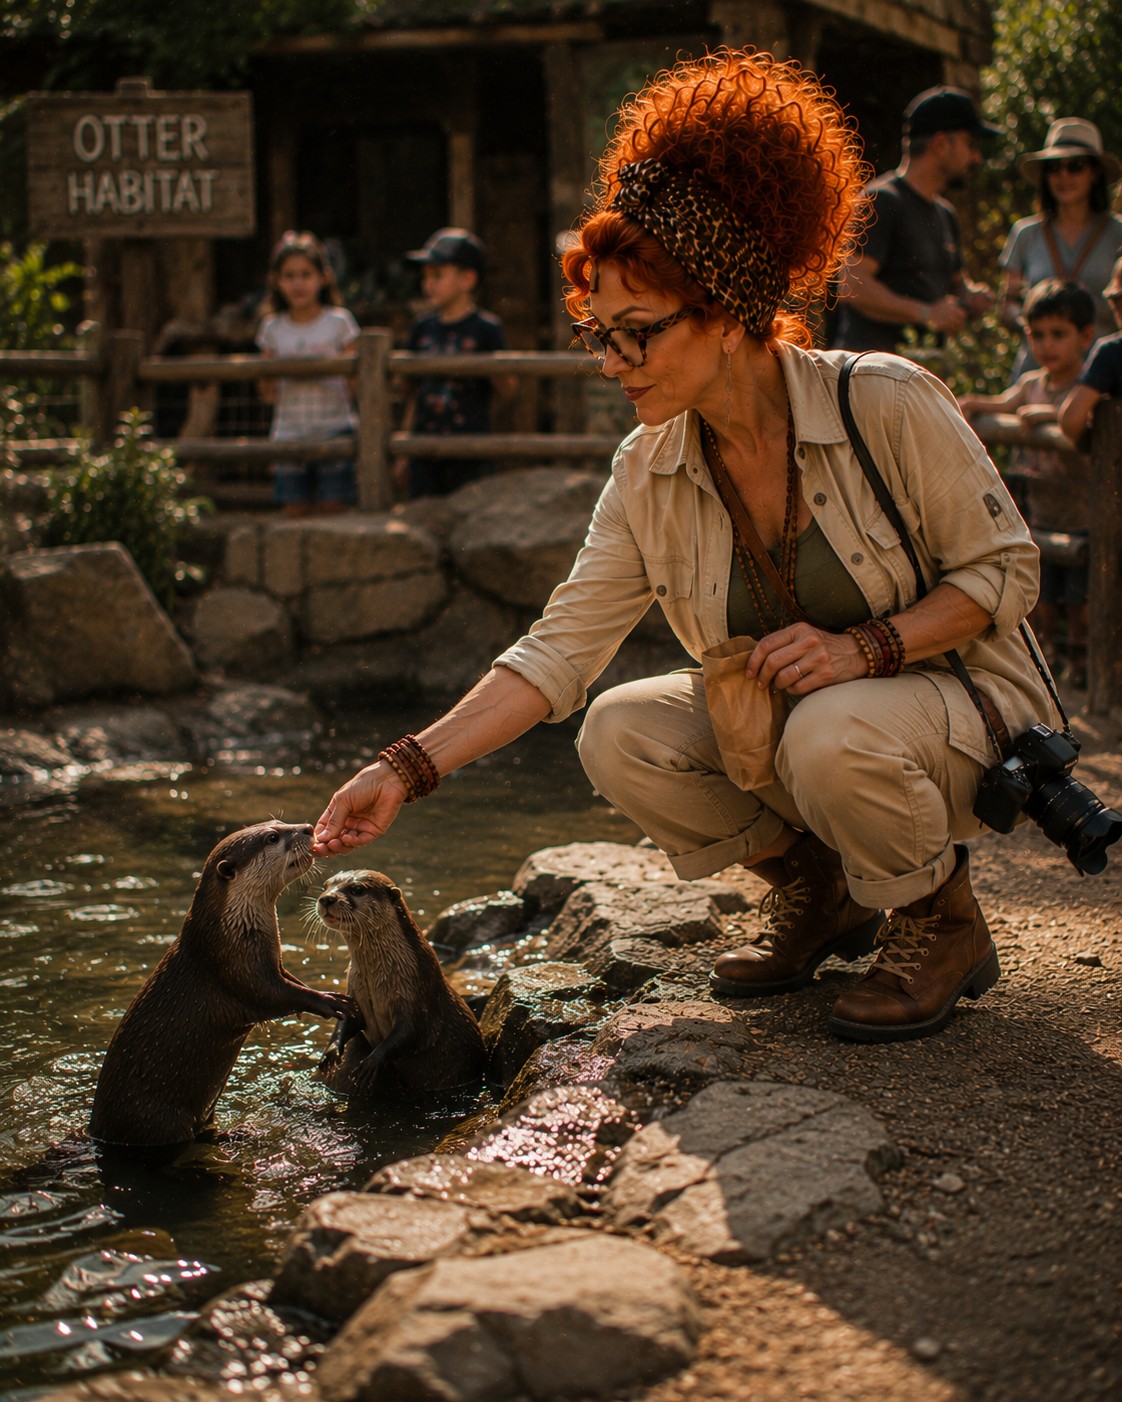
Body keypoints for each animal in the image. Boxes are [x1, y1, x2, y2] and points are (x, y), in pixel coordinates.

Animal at [89, 820, 354, 1149]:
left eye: (278, 823)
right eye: (273, 837)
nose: (307, 827)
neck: (231, 931)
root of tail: (97, 1133)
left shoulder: (272, 961)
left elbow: (290, 980)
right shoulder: (235, 969)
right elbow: (276, 995)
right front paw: (330, 1000)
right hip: (155, 1118)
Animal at [313, 869, 486, 1100]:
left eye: (357, 889)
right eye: (325, 886)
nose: (326, 899)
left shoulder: (419, 991)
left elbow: (413, 1032)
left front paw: (372, 1061)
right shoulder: (354, 989)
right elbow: (348, 1018)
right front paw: (331, 1050)